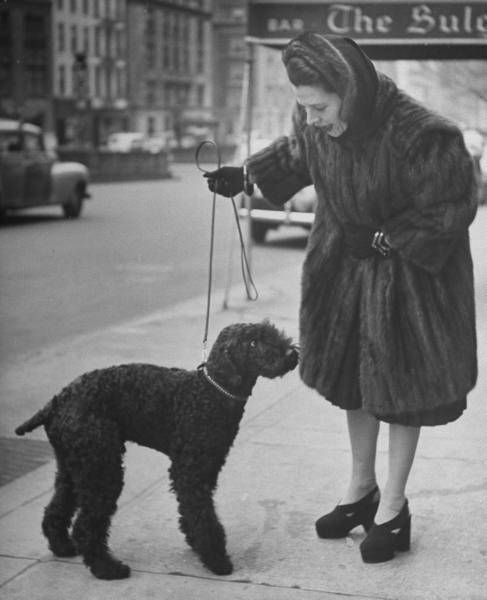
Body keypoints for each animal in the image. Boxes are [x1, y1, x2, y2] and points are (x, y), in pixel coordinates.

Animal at [15, 322, 298, 580]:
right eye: (253, 342)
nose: (291, 353)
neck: (211, 391)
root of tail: (55, 402)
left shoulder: (207, 468)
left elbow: (194, 511)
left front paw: (197, 544)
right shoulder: (190, 472)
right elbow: (204, 515)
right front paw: (216, 559)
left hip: (74, 468)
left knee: (56, 510)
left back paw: (63, 547)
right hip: (102, 471)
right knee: (86, 526)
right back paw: (108, 568)